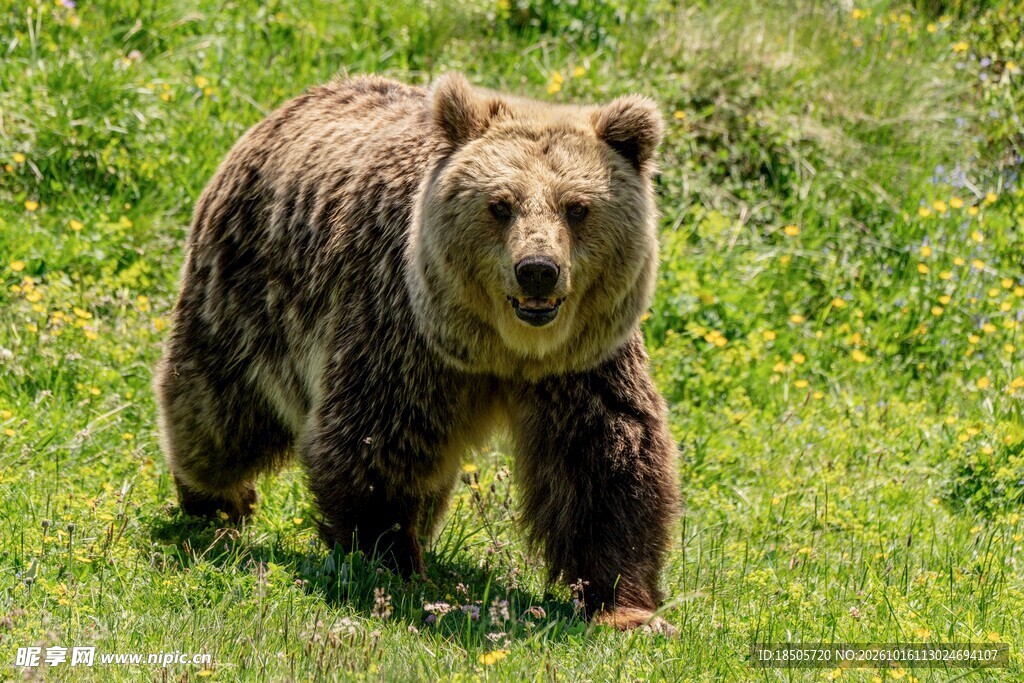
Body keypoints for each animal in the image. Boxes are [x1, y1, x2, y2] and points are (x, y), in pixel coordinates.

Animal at [154, 73, 679, 630]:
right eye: (501, 204)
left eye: (576, 207)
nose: (537, 269)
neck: (502, 350)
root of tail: (286, 107)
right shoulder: (403, 332)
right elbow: (375, 442)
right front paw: (390, 561)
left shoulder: (584, 360)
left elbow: (605, 458)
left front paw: (627, 607)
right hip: (245, 294)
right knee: (216, 408)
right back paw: (216, 500)